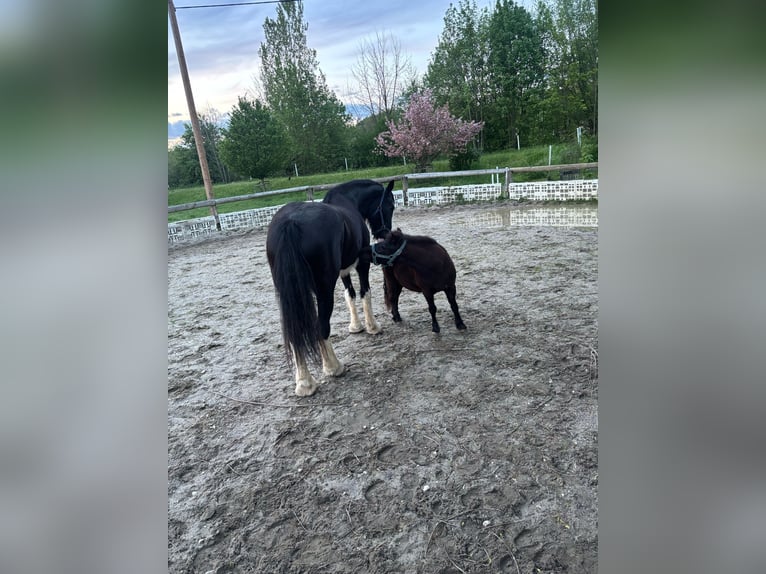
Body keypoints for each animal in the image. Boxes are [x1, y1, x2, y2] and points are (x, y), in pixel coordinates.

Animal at [266, 179, 396, 396]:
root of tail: (290, 223)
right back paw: (333, 367)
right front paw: (372, 327)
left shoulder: (344, 270)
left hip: (289, 295)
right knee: (321, 326)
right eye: (390, 205)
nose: (385, 234)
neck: (348, 201)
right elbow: (364, 293)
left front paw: (356, 326)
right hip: (324, 290)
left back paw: (304, 383)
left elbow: (350, 294)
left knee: (295, 333)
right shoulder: (362, 264)